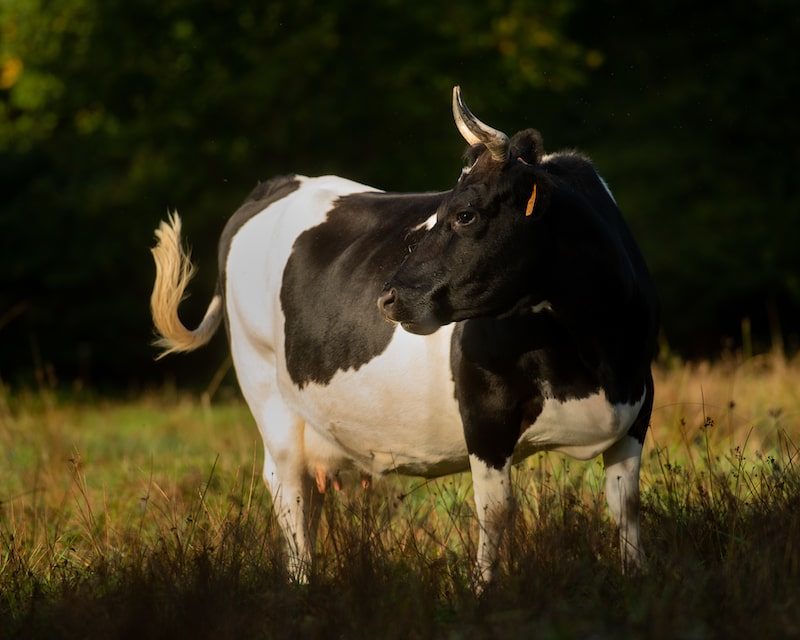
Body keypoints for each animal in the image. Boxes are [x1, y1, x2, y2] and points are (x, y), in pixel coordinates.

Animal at [148, 86, 656, 584]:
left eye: (465, 214)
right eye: (438, 210)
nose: (388, 297)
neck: (588, 353)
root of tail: (280, 184)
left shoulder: (638, 403)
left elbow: (626, 504)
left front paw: (635, 576)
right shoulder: (484, 414)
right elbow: (495, 513)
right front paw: (483, 590)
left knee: (307, 500)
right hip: (266, 393)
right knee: (290, 498)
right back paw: (301, 585)